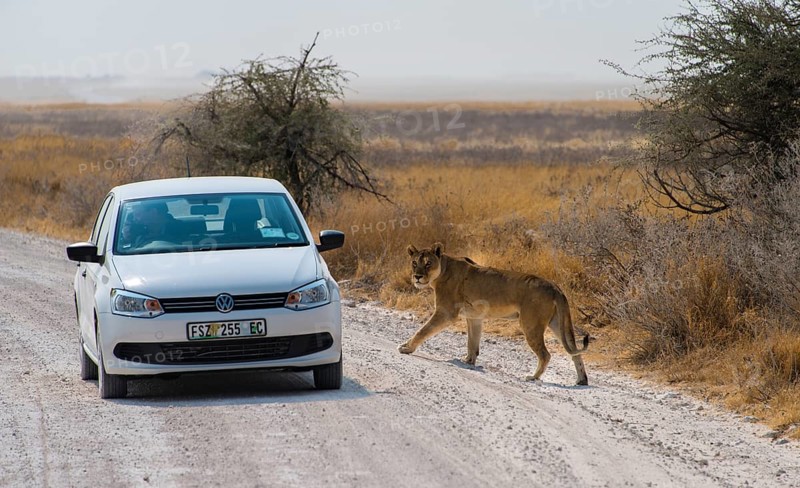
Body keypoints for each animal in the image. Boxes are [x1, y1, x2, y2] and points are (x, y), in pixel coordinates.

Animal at [398, 242, 589, 385]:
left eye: (428, 263)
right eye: (414, 263)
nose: (417, 276)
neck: (442, 270)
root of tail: (555, 287)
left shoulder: (446, 312)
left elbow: (423, 330)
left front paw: (407, 348)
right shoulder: (474, 317)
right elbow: (472, 343)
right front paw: (468, 361)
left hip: (530, 324)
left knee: (545, 354)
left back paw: (533, 377)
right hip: (558, 323)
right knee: (575, 351)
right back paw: (582, 380)